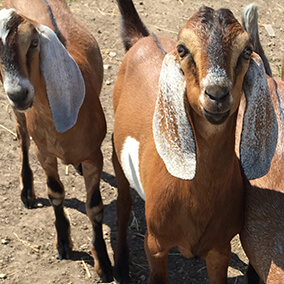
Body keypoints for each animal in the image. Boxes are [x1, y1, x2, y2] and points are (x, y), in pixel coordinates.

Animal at [0, 0, 113, 282]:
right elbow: (55, 193)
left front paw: (104, 263)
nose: (19, 93)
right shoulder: (44, 152)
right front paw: (63, 242)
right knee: (22, 138)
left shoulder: (95, 155)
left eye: (33, 43)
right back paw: (27, 192)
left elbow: (95, 207)